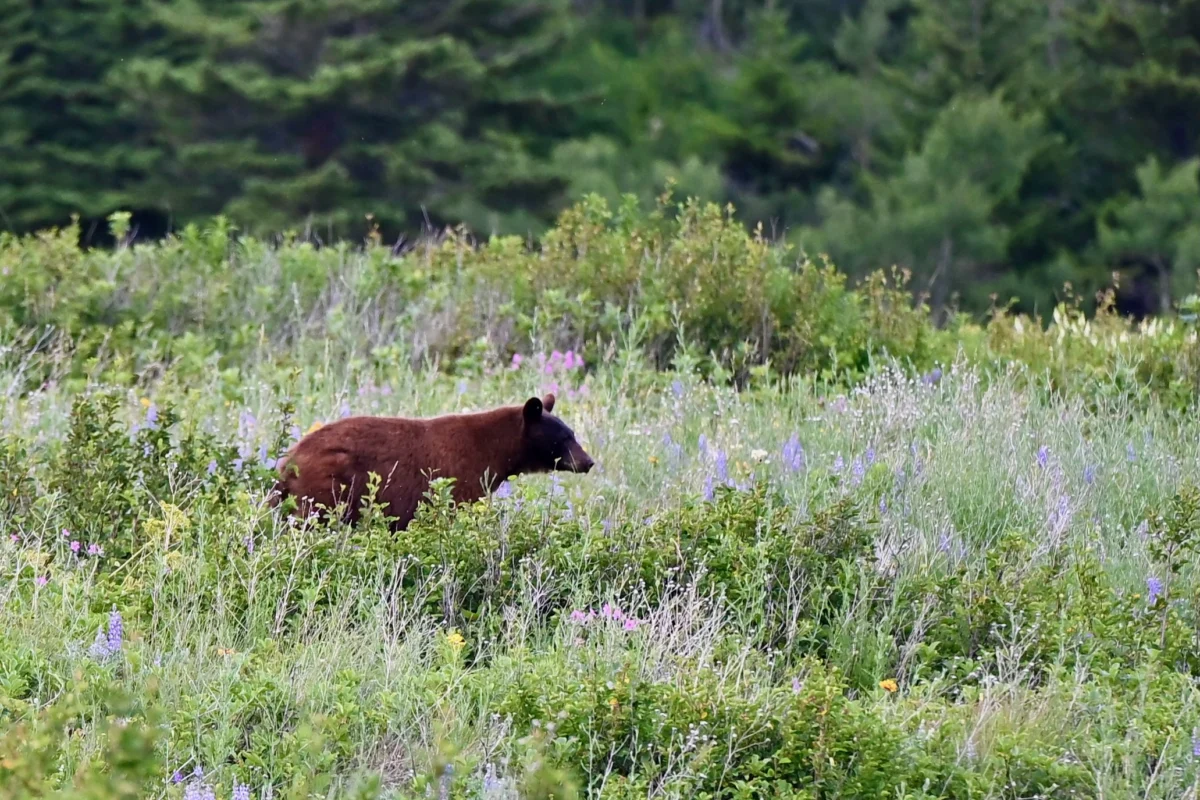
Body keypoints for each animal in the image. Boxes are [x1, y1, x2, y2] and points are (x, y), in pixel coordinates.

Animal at [270, 393, 593, 531]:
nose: (588, 462)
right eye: (564, 438)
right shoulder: (461, 479)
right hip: (326, 488)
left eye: (572, 433)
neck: (494, 450)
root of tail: (287, 464)